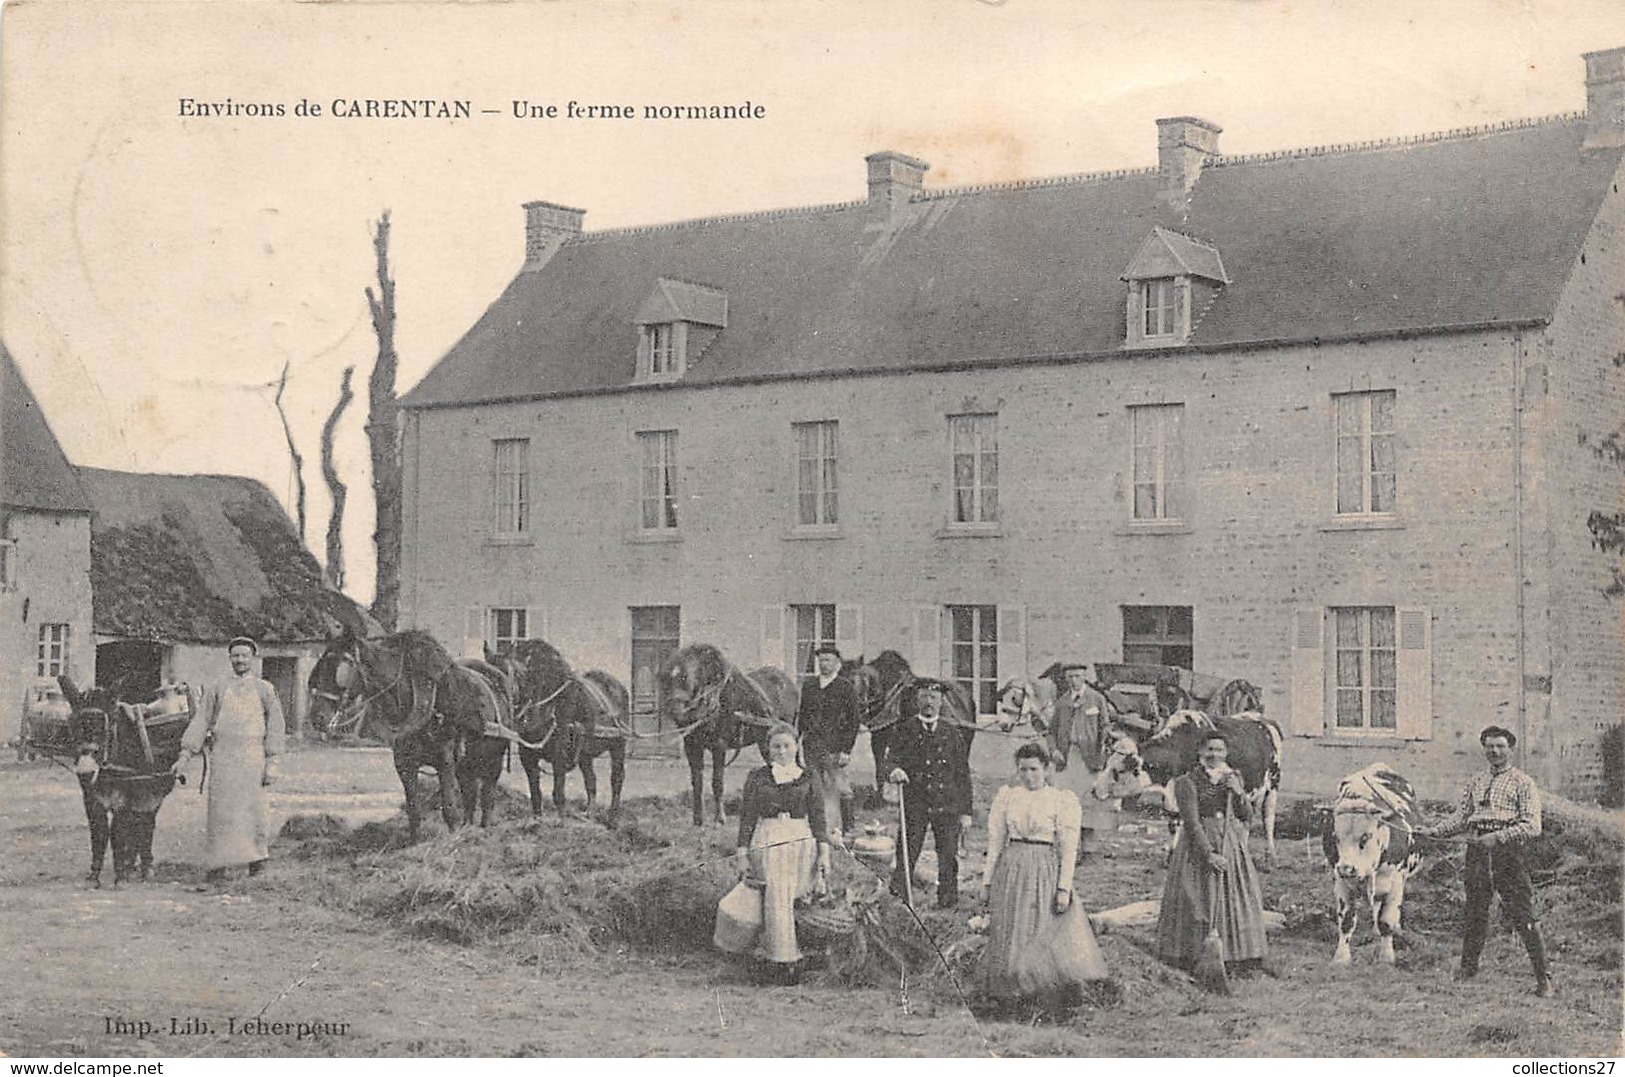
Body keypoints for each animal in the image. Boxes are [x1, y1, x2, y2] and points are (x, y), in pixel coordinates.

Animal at [305, 623, 507, 844]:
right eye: (319, 667)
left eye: (340, 668)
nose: (317, 717)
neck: (420, 700)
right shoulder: (405, 764)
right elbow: (414, 810)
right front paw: (415, 843)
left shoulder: (445, 762)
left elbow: (450, 808)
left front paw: (451, 842)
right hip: (467, 764)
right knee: (470, 795)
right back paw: (469, 828)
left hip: (494, 759)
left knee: (487, 797)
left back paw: (485, 830)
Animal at [484, 640, 630, 818]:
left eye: (507, 674)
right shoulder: (528, 756)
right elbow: (535, 793)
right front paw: (537, 819)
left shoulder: (559, 756)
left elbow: (558, 794)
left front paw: (561, 821)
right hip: (585, 754)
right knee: (591, 779)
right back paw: (589, 813)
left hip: (618, 745)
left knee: (617, 778)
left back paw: (613, 816)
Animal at [659, 643, 799, 828]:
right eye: (666, 678)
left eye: (685, 677)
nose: (674, 711)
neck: (713, 699)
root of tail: (789, 684)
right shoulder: (692, 745)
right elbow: (697, 782)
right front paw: (698, 820)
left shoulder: (719, 746)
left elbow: (717, 782)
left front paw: (720, 818)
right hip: (764, 741)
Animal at [1092, 708, 1280, 870]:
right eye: (1107, 762)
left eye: (1119, 770)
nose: (1094, 790)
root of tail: (1264, 719)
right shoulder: (1173, 797)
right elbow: (1174, 824)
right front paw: (1170, 857)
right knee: (1247, 819)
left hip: (1273, 786)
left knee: (1268, 819)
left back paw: (1271, 858)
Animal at [1319, 766, 1423, 968]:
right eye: (1336, 837)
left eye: (1365, 837)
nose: (1346, 869)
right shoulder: (1340, 882)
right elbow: (1346, 920)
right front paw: (1341, 957)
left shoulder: (1396, 881)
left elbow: (1387, 920)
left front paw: (1386, 957)